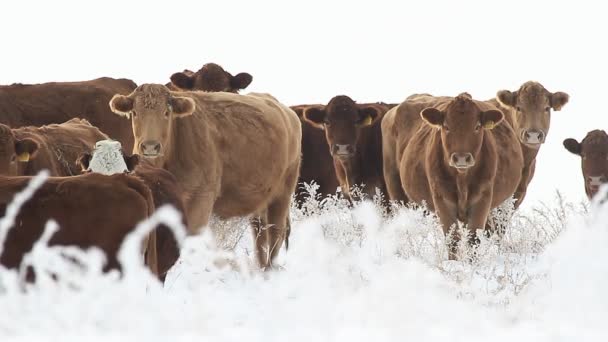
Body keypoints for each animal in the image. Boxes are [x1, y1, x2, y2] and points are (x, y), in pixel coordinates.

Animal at [108, 84, 302, 268]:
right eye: (134, 112)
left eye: (166, 112)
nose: (150, 146)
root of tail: (287, 113)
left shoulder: (201, 198)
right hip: (261, 202)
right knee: (261, 235)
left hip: (282, 195)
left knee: (276, 233)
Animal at [384, 93, 524, 260]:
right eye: (446, 126)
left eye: (477, 126)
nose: (461, 158)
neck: (462, 180)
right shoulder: (441, 198)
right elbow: (453, 238)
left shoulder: (483, 198)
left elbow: (473, 238)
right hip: (396, 190)